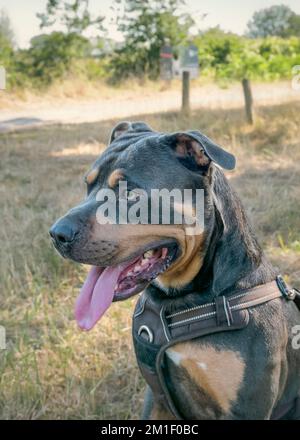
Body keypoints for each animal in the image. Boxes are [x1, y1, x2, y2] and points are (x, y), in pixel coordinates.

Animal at [50, 120, 300, 420]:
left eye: (129, 192)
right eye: (88, 186)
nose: (56, 234)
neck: (183, 301)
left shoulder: (246, 409)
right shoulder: (157, 397)